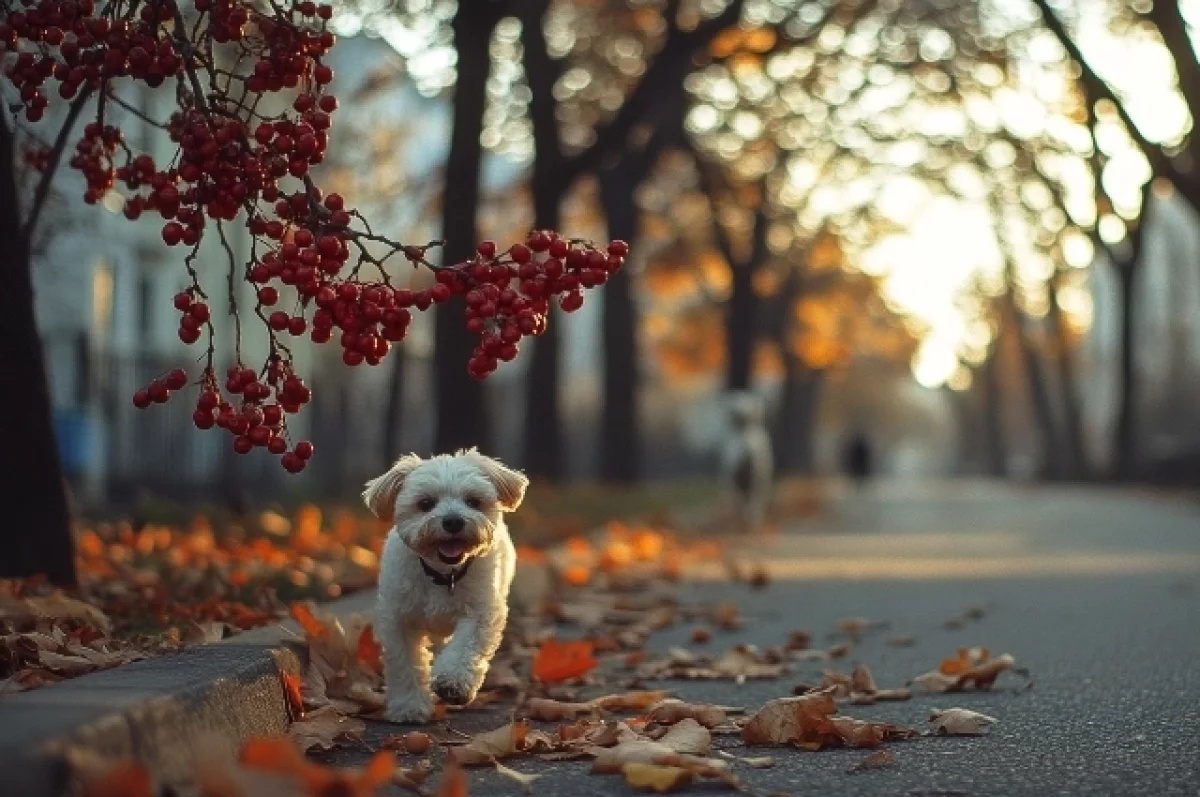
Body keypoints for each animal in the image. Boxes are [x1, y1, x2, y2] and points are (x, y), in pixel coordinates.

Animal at [362, 448, 528, 720]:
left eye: (473, 501)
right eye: (425, 503)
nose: (453, 521)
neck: (443, 575)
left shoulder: (481, 612)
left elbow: (464, 647)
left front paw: (453, 682)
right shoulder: (399, 618)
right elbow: (404, 662)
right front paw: (408, 705)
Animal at [715, 391, 772, 532]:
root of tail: (746, 447)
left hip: (741, 480)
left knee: (745, 501)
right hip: (758, 478)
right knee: (754, 501)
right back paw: (752, 520)